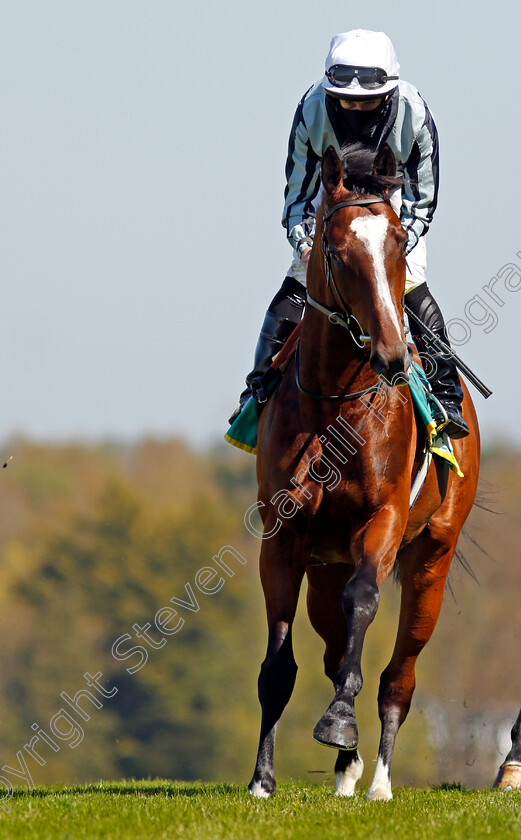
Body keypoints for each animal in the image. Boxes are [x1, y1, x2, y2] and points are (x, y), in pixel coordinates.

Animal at [248, 141, 480, 796]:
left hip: (432, 556)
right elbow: (279, 664)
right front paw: (262, 779)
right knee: (332, 648)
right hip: (324, 565)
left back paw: (377, 780)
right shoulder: (285, 536)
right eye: (337, 249)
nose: (393, 354)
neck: (337, 405)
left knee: (399, 673)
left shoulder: (382, 521)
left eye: (399, 242)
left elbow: (364, 602)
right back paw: (348, 772)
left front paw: (339, 722)